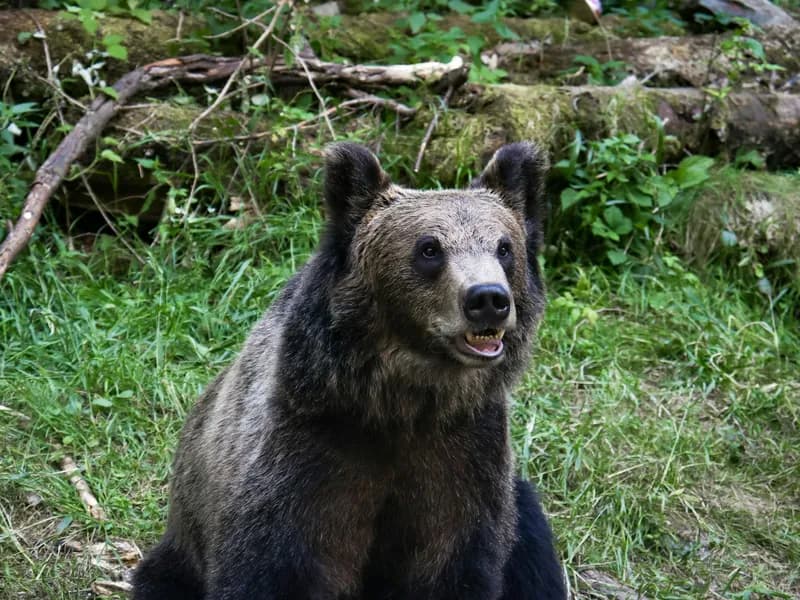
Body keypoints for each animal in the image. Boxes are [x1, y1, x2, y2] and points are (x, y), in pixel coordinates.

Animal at [132, 141, 566, 600]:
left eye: (504, 247)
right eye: (429, 248)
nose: (487, 299)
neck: (403, 400)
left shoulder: (465, 456)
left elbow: (456, 562)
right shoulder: (309, 452)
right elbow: (272, 564)